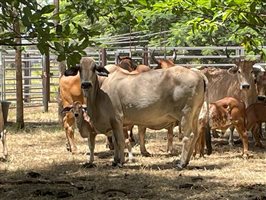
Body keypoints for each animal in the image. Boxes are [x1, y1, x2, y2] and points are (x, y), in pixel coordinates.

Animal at [78, 56, 207, 169]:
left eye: (94, 68)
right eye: (79, 68)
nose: (85, 84)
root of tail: (197, 74)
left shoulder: (116, 119)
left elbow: (120, 141)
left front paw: (120, 162)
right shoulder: (115, 123)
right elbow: (115, 141)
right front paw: (114, 160)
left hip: (186, 114)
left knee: (188, 136)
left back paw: (181, 163)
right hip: (195, 114)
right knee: (196, 134)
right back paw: (187, 161)